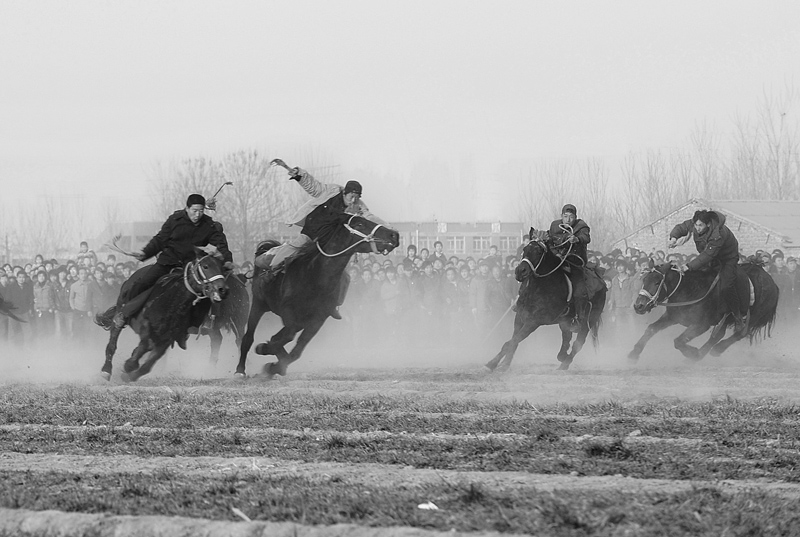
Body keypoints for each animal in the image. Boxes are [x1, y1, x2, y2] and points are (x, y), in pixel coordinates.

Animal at [101, 249, 228, 384]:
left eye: (222, 268)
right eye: (205, 266)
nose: (223, 289)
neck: (174, 302)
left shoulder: (167, 339)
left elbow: (148, 364)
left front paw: (129, 374)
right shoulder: (146, 324)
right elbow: (146, 344)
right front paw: (130, 365)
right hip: (120, 311)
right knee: (113, 342)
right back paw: (106, 370)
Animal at [236, 211, 400, 378]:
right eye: (360, 224)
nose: (394, 235)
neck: (315, 276)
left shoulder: (318, 319)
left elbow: (295, 350)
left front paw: (275, 365)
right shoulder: (289, 313)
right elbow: (284, 337)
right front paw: (264, 350)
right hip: (258, 304)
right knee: (248, 337)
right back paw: (240, 370)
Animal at [482, 230, 608, 372]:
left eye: (538, 252)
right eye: (525, 249)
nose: (520, 271)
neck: (540, 288)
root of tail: (601, 280)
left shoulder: (534, 321)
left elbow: (512, 341)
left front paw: (492, 363)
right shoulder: (519, 317)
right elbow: (514, 341)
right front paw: (504, 364)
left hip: (589, 319)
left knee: (579, 342)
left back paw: (565, 363)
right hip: (565, 321)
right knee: (567, 337)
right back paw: (562, 357)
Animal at [628, 260, 780, 360]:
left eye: (657, 282)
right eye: (644, 280)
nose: (639, 306)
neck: (690, 289)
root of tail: (773, 283)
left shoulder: (701, 325)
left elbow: (678, 341)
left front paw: (692, 353)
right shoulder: (672, 317)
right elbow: (651, 329)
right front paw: (634, 353)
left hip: (754, 316)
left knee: (742, 332)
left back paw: (716, 349)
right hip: (726, 319)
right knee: (718, 335)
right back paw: (705, 352)